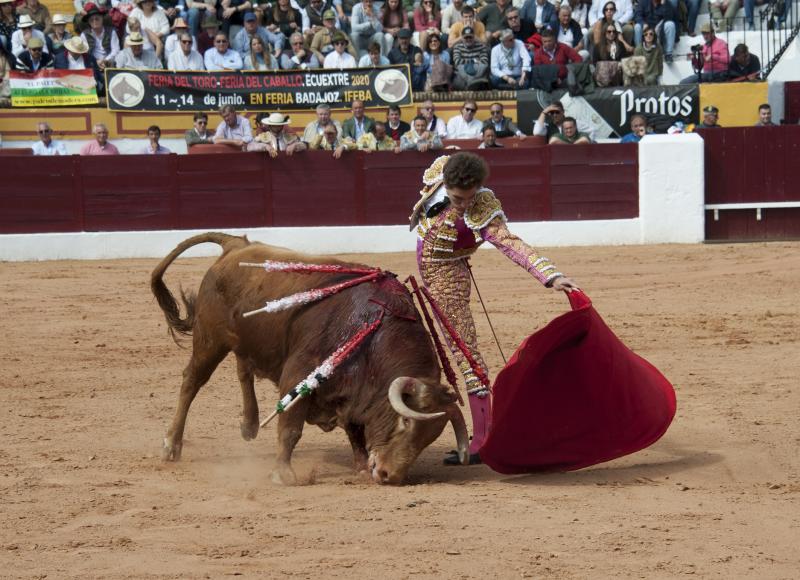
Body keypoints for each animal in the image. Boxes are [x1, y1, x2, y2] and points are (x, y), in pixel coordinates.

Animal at [150, 232, 468, 484]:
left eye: (430, 437)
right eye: (404, 423)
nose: (390, 476)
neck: (374, 331)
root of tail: (235, 245)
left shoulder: (354, 390)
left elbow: (355, 429)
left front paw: (360, 467)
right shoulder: (299, 373)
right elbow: (291, 426)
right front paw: (283, 475)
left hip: (246, 340)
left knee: (244, 369)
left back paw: (249, 425)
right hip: (209, 340)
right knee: (192, 382)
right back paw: (170, 445)